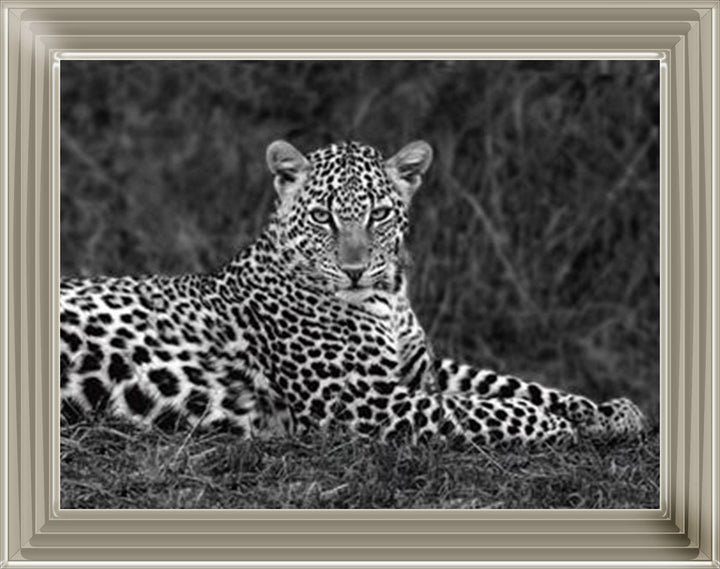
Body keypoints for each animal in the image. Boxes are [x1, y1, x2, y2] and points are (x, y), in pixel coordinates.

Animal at [60, 139, 647, 448]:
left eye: (379, 214)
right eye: (323, 216)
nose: (356, 270)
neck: (389, 297)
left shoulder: (421, 369)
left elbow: (506, 383)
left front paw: (606, 411)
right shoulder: (358, 400)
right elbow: (477, 410)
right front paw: (556, 424)